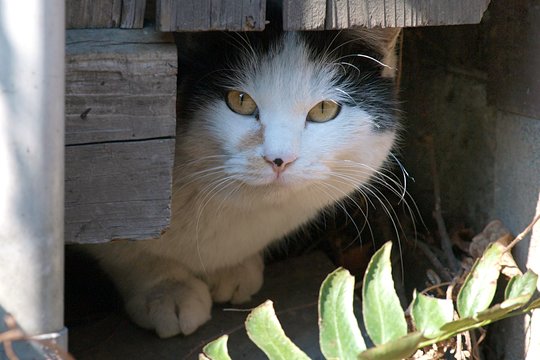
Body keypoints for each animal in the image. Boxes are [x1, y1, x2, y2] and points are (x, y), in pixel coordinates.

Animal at [86, 5, 400, 338]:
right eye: (240, 101)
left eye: (324, 110)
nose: (279, 159)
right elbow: (126, 251)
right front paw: (167, 290)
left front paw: (230, 269)